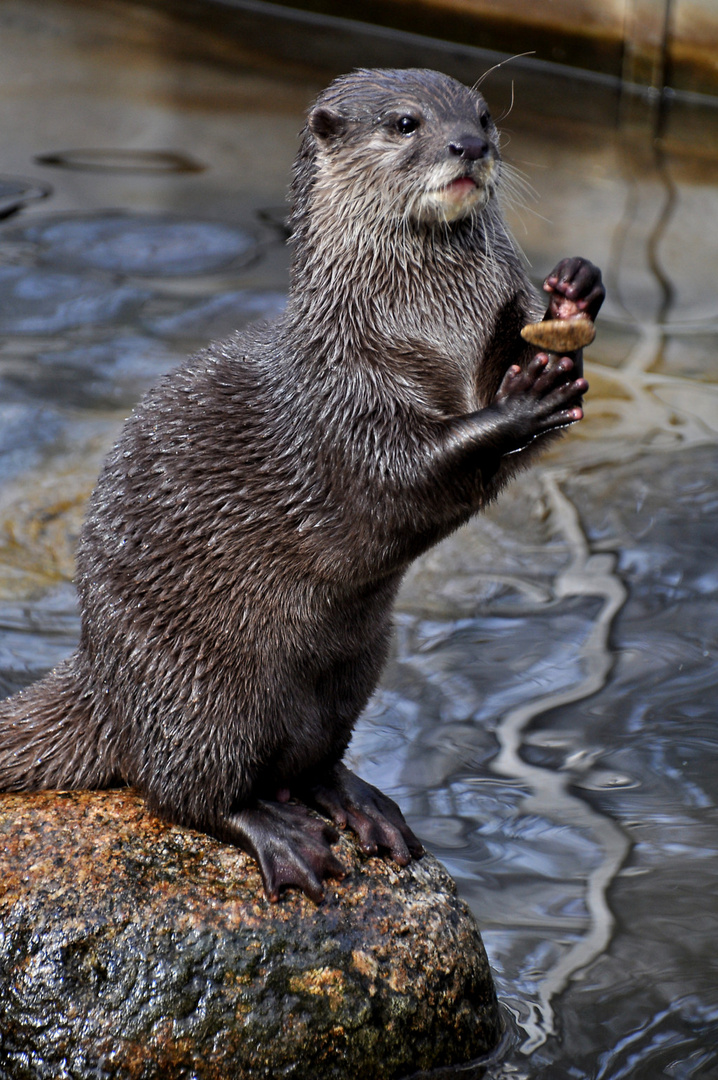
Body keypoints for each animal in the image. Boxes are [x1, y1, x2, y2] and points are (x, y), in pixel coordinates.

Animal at [0, 67, 600, 902]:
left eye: (482, 114)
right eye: (407, 123)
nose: (470, 146)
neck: (426, 327)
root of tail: (99, 676)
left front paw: (574, 294)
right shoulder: (344, 395)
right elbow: (408, 469)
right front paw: (524, 400)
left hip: (352, 667)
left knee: (311, 759)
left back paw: (362, 807)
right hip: (198, 688)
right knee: (181, 792)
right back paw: (282, 838)